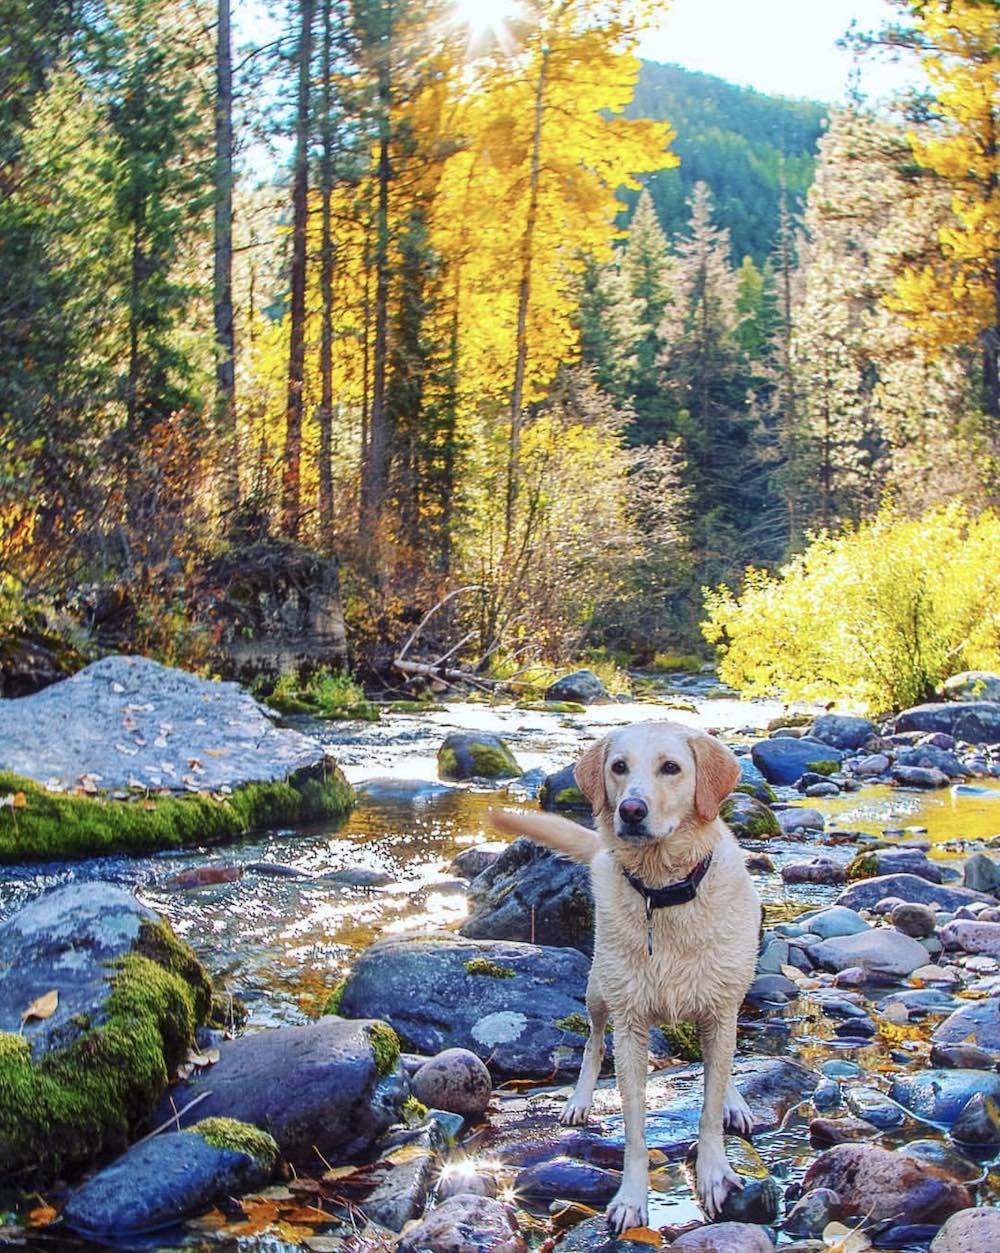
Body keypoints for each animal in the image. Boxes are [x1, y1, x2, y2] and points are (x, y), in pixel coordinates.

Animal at [491, 726, 761, 1232]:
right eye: (618, 767)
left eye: (671, 768)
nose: (631, 810)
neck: (662, 894)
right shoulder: (631, 1025)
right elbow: (634, 1127)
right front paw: (632, 1198)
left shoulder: (719, 1011)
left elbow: (710, 1103)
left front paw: (714, 1171)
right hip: (599, 990)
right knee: (593, 1042)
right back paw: (579, 1098)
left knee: (721, 1061)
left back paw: (733, 1098)